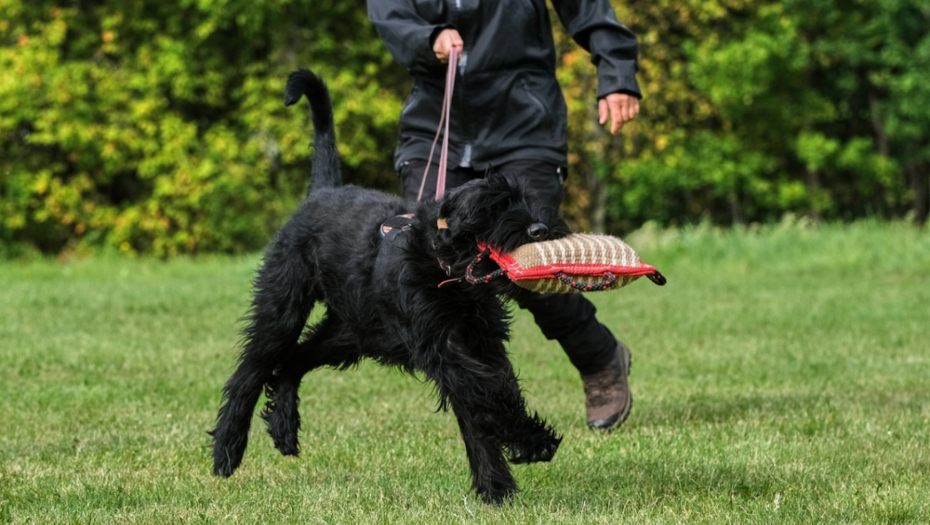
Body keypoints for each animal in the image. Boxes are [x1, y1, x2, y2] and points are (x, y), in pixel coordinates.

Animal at [211, 69, 568, 504]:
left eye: (524, 200)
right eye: (494, 207)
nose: (540, 230)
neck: (442, 266)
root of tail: (322, 192)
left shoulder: (480, 343)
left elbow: (483, 404)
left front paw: (496, 488)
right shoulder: (442, 348)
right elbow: (486, 393)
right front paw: (533, 441)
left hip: (353, 334)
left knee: (294, 360)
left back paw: (283, 426)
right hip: (283, 310)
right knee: (250, 372)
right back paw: (227, 449)